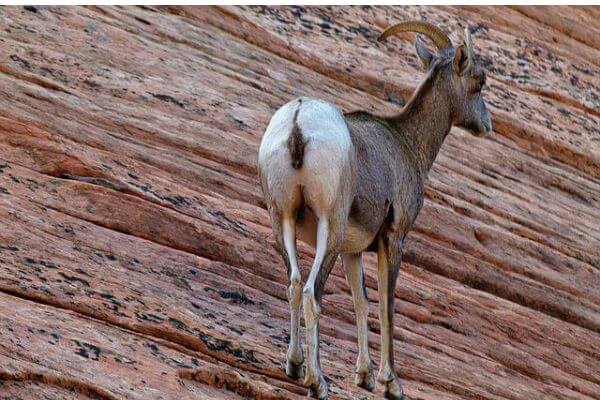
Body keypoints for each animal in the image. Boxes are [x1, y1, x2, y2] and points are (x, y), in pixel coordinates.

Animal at [258, 21, 492, 400]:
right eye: (479, 79)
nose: (487, 123)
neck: (406, 142)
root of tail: (298, 123)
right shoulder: (393, 238)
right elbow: (386, 305)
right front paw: (390, 383)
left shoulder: (353, 251)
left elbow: (361, 302)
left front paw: (365, 376)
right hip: (329, 228)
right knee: (311, 292)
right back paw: (317, 381)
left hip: (283, 221)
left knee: (293, 283)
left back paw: (294, 366)